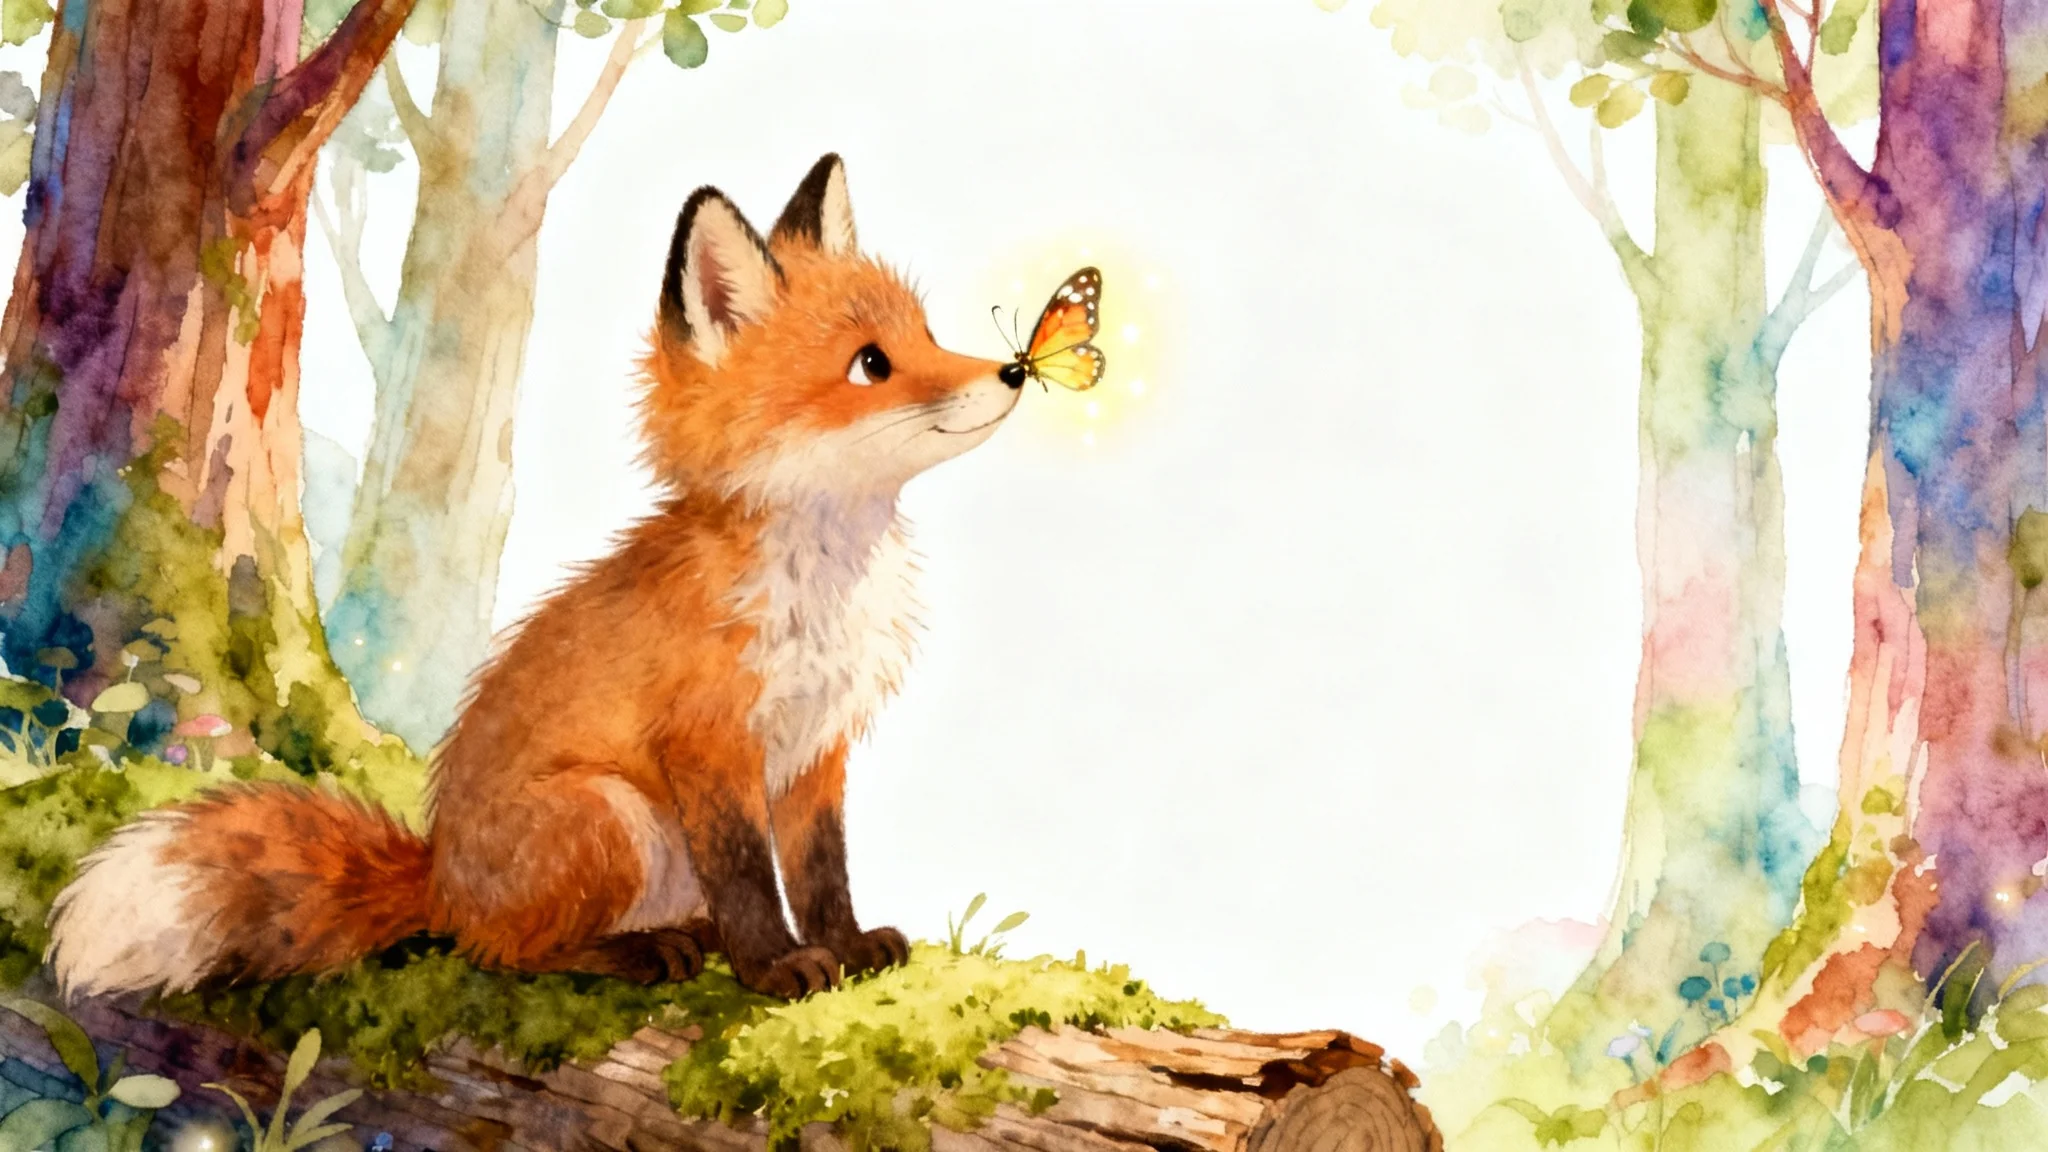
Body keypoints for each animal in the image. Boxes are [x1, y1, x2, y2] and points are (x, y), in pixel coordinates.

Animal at [45, 153, 1032, 1002]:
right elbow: (751, 878)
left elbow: (822, 873)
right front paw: (776, 968)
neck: (824, 583)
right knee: (502, 952)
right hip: (611, 817)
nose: (1015, 369)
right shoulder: (710, 745)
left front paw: (849, 946)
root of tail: (440, 876)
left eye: (926, 336)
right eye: (872, 363)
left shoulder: (818, 749)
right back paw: (636, 952)